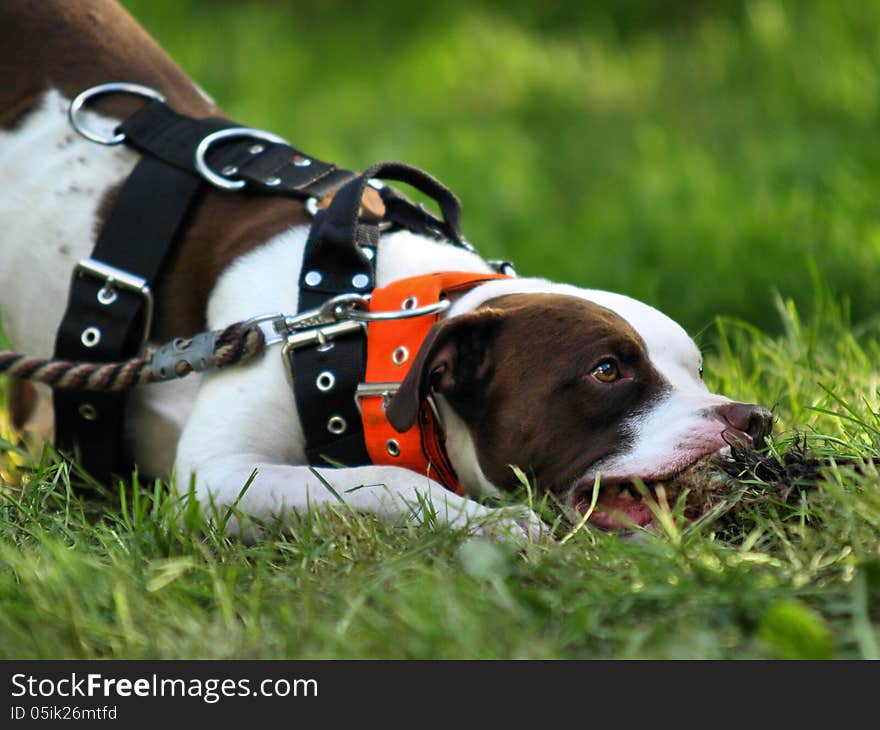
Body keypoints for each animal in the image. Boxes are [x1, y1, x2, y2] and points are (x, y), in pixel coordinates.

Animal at [0, 0, 768, 536]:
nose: (754, 418)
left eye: (699, 369)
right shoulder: (218, 479)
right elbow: (387, 481)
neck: (368, 324)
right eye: (606, 371)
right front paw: (488, 525)